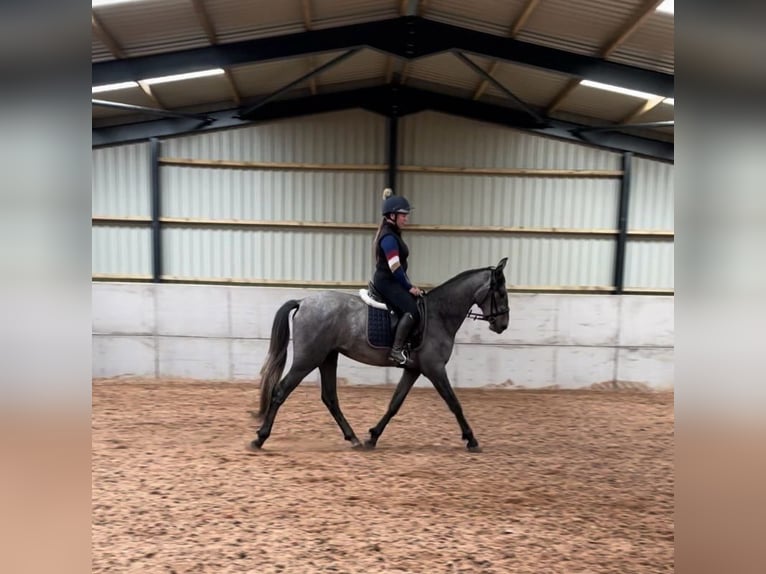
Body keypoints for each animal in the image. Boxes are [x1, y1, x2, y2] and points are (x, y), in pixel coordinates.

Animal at [249, 257, 509, 452]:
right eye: (501, 293)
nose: (503, 325)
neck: (439, 314)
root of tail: (303, 302)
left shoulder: (414, 369)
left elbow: (395, 404)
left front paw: (372, 436)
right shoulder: (434, 368)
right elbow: (454, 402)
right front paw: (471, 439)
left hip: (327, 357)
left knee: (330, 398)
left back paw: (353, 438)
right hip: (307, 359)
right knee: (281, 391)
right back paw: (260, 438)